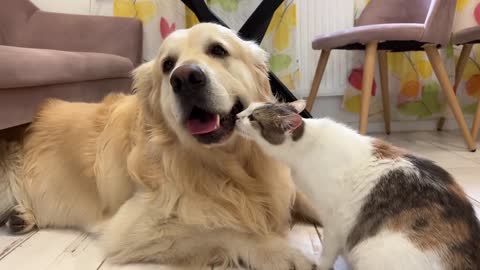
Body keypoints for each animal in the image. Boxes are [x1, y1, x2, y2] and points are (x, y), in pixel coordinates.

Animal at [234, 100, 478, 270]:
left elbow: (328, 252)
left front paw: (321, 263)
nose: (236, 116)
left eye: (253, 118)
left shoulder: (334, 220)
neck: (304, 145)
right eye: (248, 108)